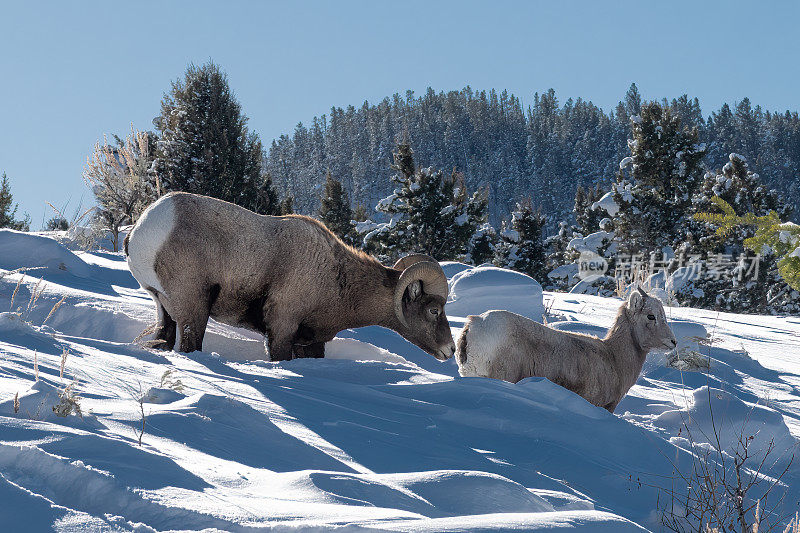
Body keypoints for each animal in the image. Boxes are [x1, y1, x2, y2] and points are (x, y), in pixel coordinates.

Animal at [122, 192, 454, 362]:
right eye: (434, 310)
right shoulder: (282, 327)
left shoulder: (309, 343)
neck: (337, 280)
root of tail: (141, 228)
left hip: (164, 309)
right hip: (194, 310)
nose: (450, 350)